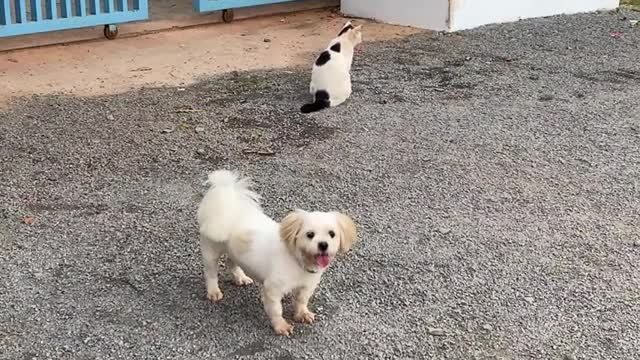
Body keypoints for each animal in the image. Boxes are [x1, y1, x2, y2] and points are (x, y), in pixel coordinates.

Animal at [198, 170, 358, 336]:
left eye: (332, 234)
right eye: (310, 234)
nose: (323, 245)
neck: (298, 262)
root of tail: (226, 197)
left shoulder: (306, 286)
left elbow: (301, 301)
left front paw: (302, 314)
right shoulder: (272, 289)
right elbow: (276, 310)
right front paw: (281, 326)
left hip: (235, 251)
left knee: (231, 262)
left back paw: (240, 278)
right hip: (210, 251)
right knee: (210, 273)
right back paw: (214, 291)